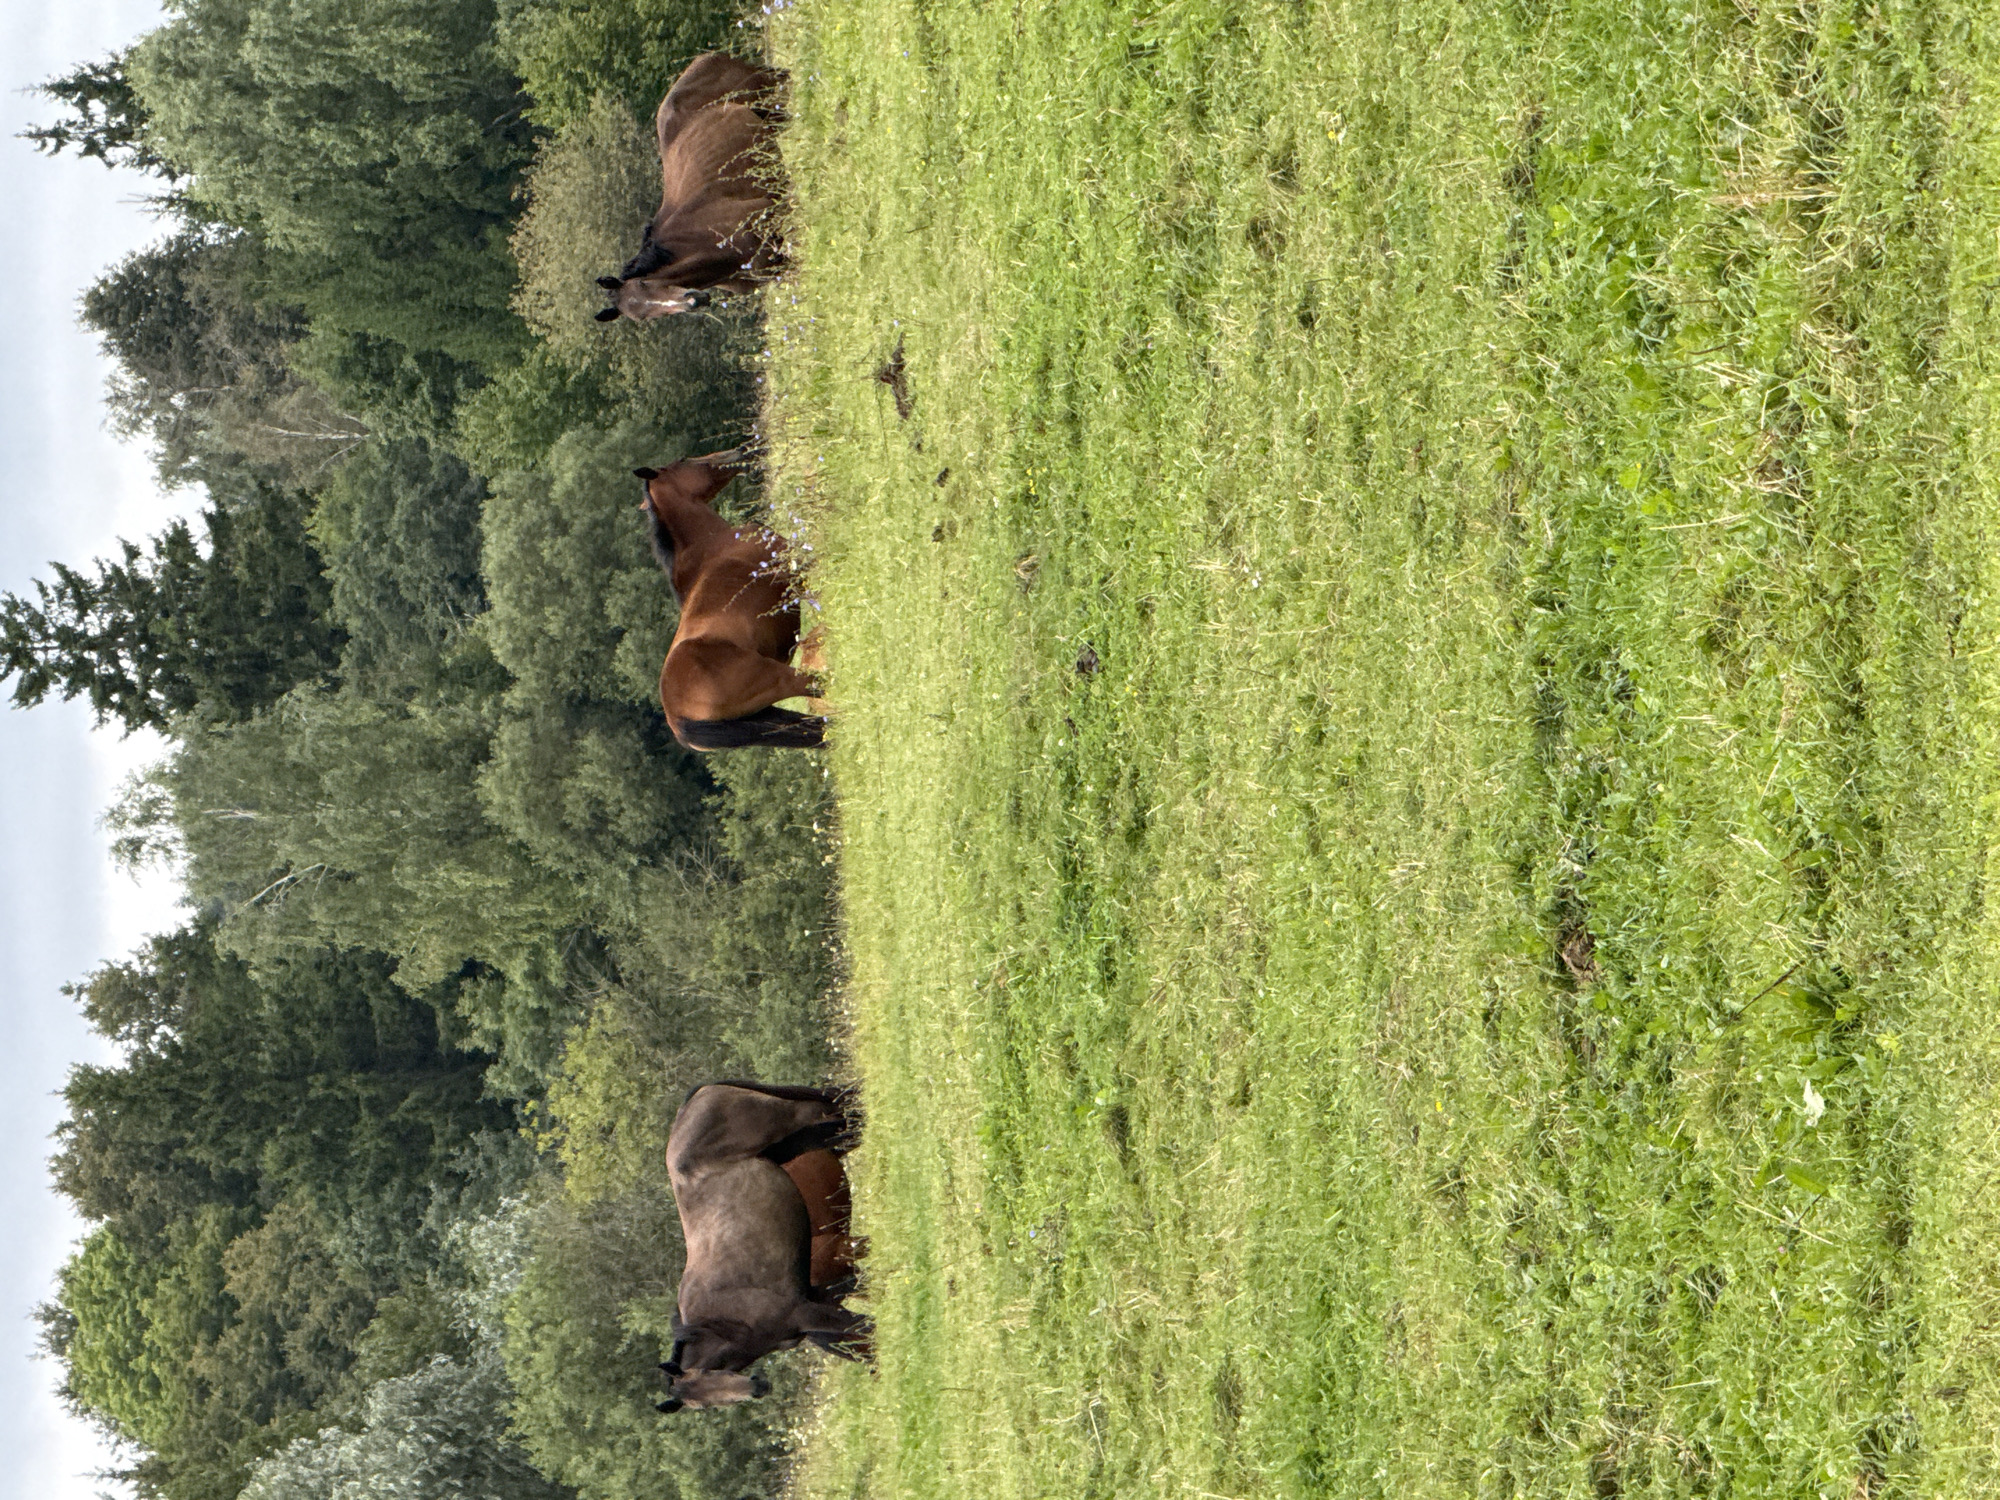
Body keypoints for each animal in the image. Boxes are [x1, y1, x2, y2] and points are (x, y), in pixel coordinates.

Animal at [638, 447, 826, 750]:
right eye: (683, 461)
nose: (740, 452)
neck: (711, 544)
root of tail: (677, 721)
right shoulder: (795, 569)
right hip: (782, 678)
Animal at [657, 1082, 870, 1412]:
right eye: (704, 1405)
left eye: (707, 1372)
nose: (758, 1386)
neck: (723, 1323)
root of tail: (697, 1098)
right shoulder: (816, 1304)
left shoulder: (806, 1312)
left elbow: (864, 1330)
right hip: (800, 1141)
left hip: (798, 1117)